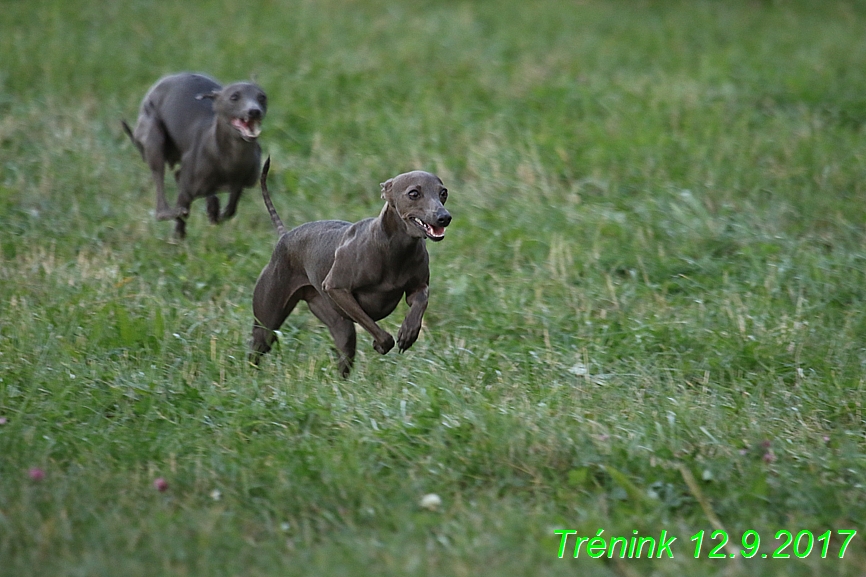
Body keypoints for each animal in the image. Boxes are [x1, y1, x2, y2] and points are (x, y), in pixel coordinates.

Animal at [120, 72, 264, 238]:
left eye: (262, 97)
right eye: (234, 97)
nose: (254, 111)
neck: (233, 158)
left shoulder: (240, 184)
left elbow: (230, 209)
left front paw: (216, 213)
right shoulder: (187, 190)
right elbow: (183, 211)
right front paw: (178, 236)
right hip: (153, 136)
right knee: (161, 207)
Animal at [250, 156, 452, 378]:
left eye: (443, 192)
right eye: (414, 193)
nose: (444, 217)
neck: (394, 249)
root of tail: (285, 236)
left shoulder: (417, 287)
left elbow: (420, 300)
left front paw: (408, 333)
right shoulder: (336, 288)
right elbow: (379, 332)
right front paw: (381, 344)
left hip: (338, 325)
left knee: (344, 357)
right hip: (268, 319)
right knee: (257, 347)